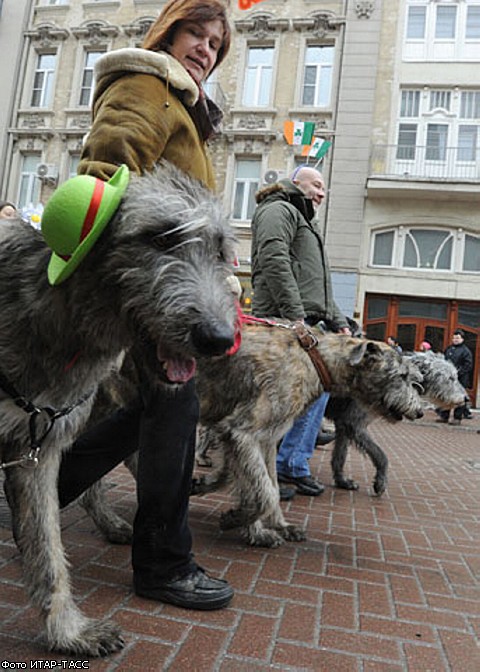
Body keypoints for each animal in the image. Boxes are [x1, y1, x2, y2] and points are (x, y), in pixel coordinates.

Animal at [0, 165, 238, 660]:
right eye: (161, 237)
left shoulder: (36, 449)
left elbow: (47, 548)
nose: (219, 338)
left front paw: (68, 631)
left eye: (220, 249)